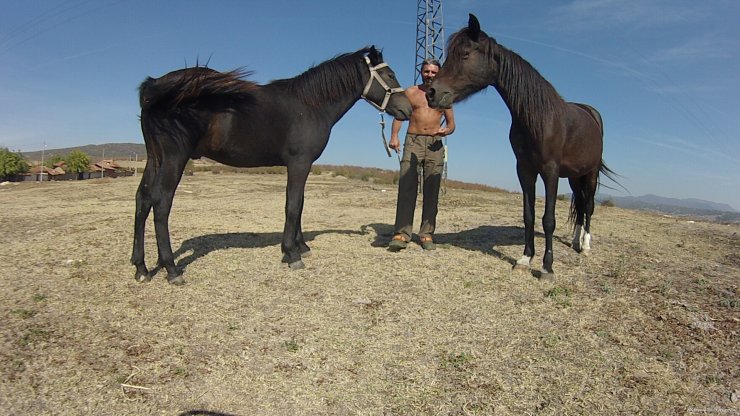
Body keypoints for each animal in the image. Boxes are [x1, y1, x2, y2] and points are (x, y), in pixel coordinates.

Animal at [131, 46, 412, 285]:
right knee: (161, 203)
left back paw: (141, 268)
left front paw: (301, 247)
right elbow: (293, 205)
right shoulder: (299, 163)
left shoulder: (300, 165)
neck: (310, 104)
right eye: (390, 74)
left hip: (154, 158)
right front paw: (291, 254)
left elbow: (300, 205)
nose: (407, 109)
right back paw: (171, 269)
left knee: (143, 199)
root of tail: (154, 86)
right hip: (174, 159)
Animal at [426, 14, 617, 279]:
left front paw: (547, 267)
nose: (431, 93)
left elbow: (548, 219)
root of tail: (592, 114)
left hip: (590, 173)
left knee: (588, 206)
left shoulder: (550, 171)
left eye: (464, 54)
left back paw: (586, 246)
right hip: (574, 176)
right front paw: (525, 259)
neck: (538, 118)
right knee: (579, 204)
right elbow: (529, 215)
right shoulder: (525, 170)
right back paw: (575, 241)